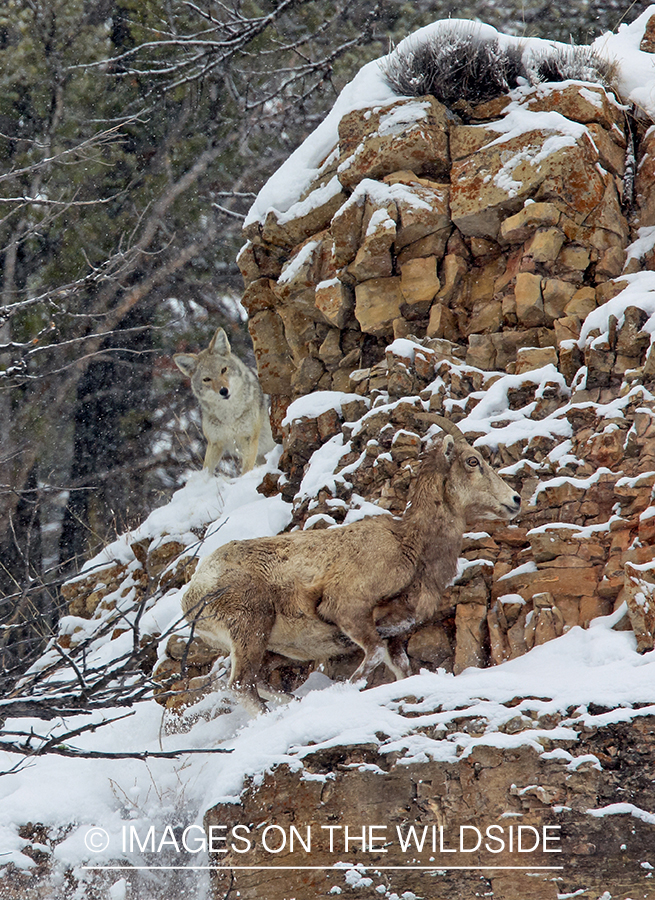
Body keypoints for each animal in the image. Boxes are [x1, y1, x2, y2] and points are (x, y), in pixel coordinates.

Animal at [181, 417, 521, 713]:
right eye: (472, 461)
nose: (515, 500)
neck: (410, 546)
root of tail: (194, 591)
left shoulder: (393, 636)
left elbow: (401, 669)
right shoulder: (348, 611)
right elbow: (370, 657)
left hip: (263, 648)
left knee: (255, 683)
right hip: (250, 630)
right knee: (241, 685)